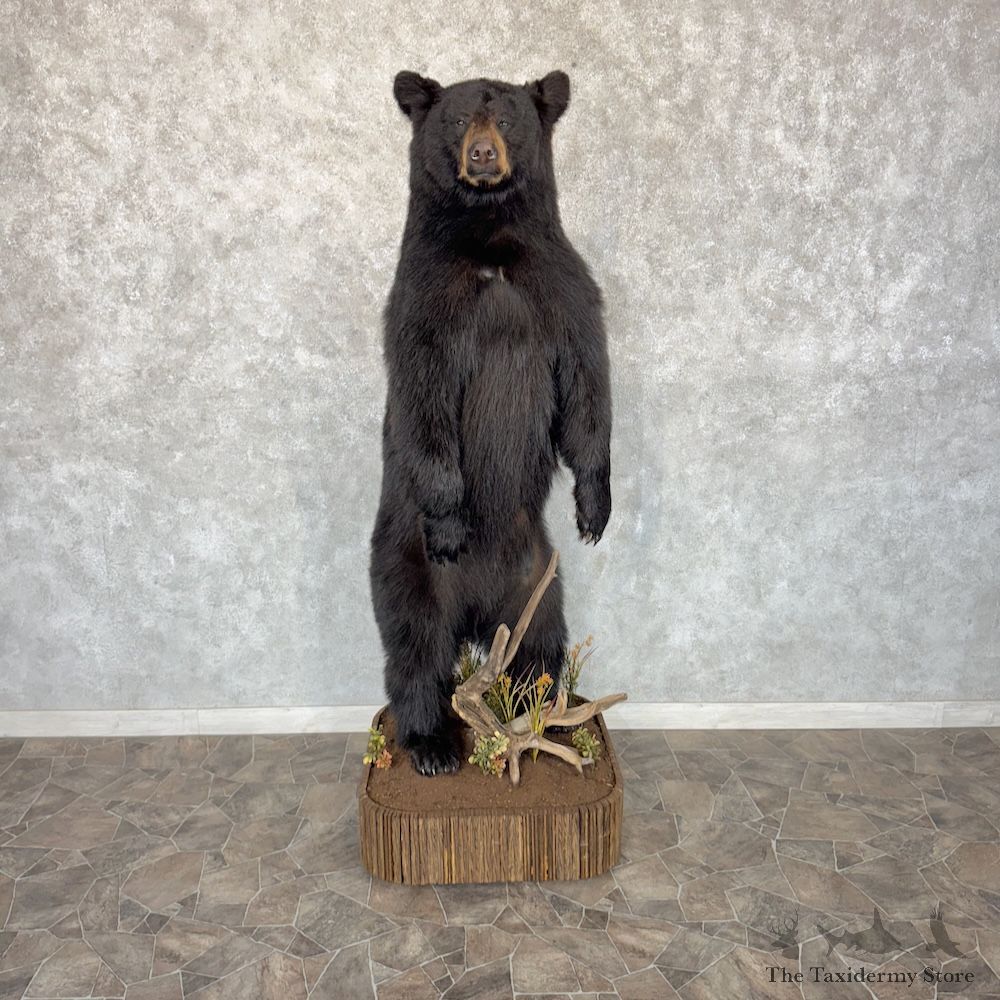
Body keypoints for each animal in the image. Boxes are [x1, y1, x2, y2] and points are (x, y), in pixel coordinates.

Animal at [369, 69, 612, 776]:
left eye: (505, 120)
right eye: (456, 120)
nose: (481, 155)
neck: (490, 240)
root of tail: (477, 615)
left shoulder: (559, 284)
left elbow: (587, 381)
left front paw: (595, 506)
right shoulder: (424, 300)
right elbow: (424, 395)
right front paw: (452, 516)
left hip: (538, 580)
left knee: (541, 646)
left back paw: (543, 717)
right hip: (407, 564)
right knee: (416, 649)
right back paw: (432, 744)